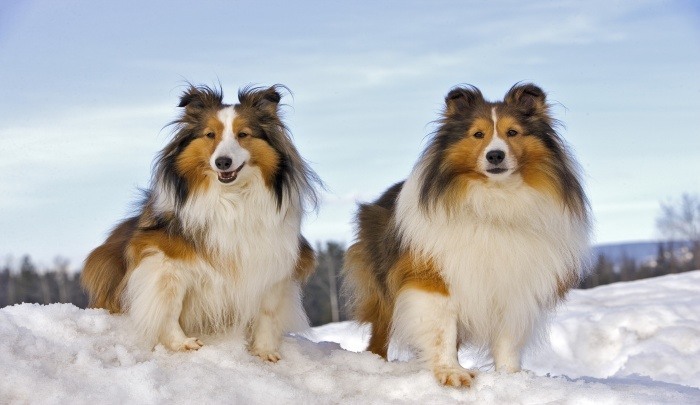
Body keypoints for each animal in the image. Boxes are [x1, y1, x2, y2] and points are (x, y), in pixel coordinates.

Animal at [82, 83, 320, 360]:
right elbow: (169, 306)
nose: (222, 162)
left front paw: (265, 351)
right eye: (210, 135)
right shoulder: (163, 259)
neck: (231, 199)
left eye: (243, 134)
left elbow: (267, 312)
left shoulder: (272, 258)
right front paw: (180, 343)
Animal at [344, 83, 592, 386]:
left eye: (513, 132)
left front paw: (510, 376)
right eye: (478, 134)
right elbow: (443, 332)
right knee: (381, 330)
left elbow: (508, 340)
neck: (494, 202)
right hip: (382, 285)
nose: (495, 156)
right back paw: (376, 363)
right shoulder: (433, 277)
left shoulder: (514, 284)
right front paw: (451, 373)